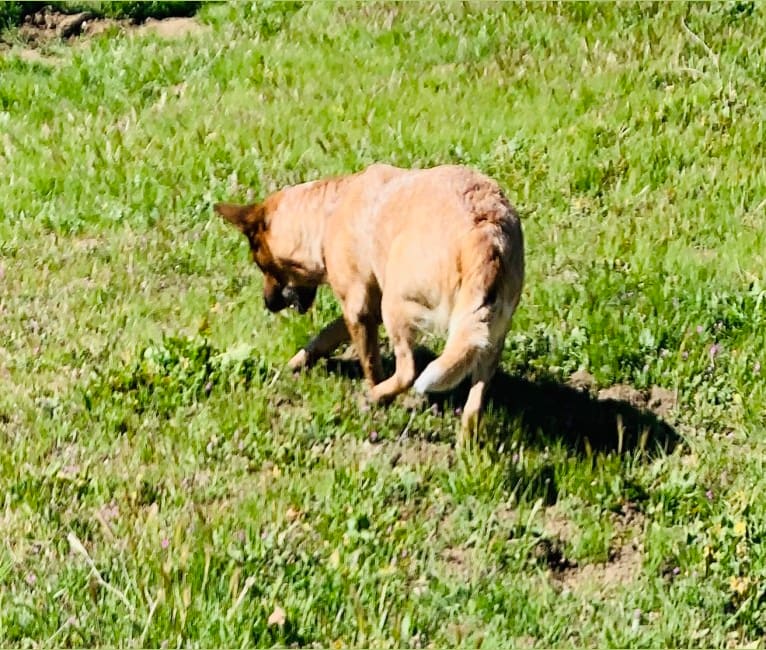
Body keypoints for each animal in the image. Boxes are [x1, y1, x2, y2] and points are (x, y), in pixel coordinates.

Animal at [216, 162, 528, 438]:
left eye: (262, 265)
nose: (267, 304)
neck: (327, 213)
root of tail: (485, 235)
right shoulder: (367, 308)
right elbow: (325, 335)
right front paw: (296, 363)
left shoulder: (359, 308)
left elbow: (369, 362)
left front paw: (375, 392)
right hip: (487, 337)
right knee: (475, 403)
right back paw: (466, 445)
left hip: (396, 306)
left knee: (408, 373)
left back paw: (374, 397)